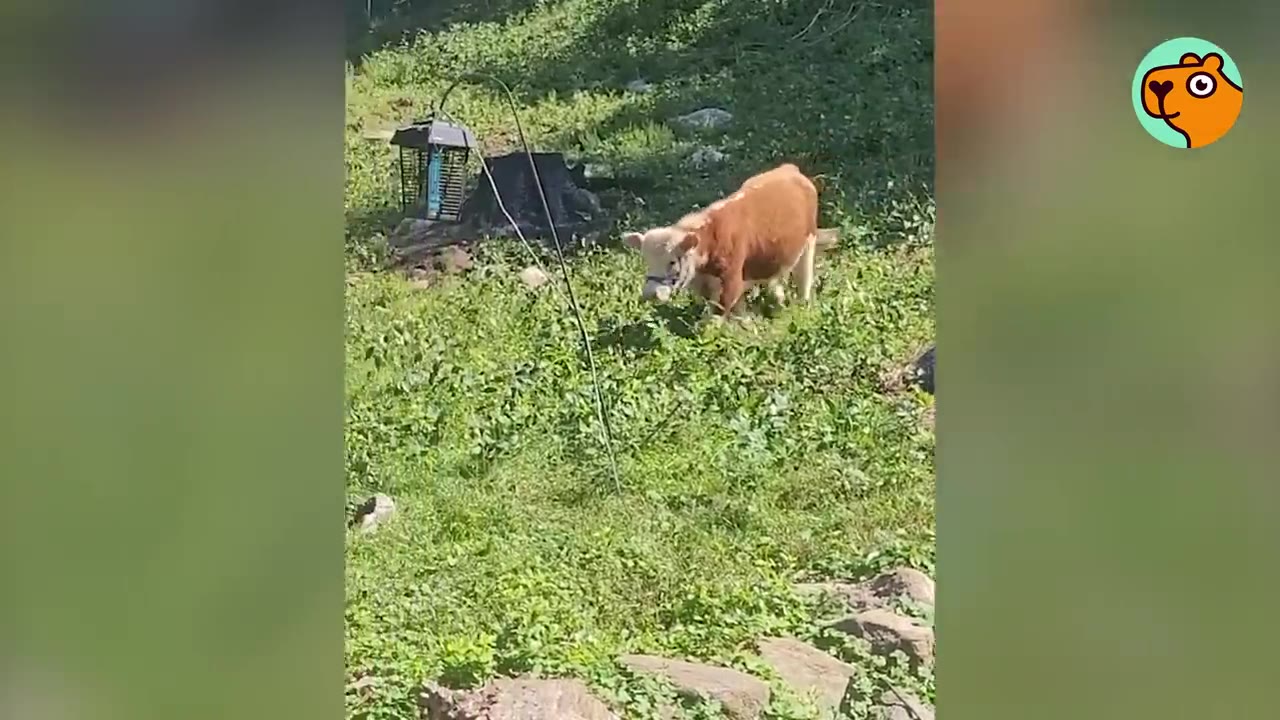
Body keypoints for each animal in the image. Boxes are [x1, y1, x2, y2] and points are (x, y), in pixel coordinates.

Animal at [622, 163, 821, 318]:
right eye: (647, 261)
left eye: (672, 262)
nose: (650, 293)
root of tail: (789, 168)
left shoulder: (731, 279)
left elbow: (719, 311)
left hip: (809, 243)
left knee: (804, 278)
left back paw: (802, 304)